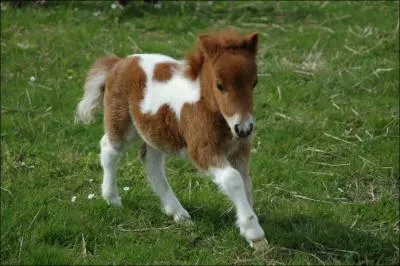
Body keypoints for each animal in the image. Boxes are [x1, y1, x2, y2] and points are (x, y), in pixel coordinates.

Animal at [75, 30, 268, 249]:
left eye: (254, 82)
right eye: (220, 85)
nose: (244, 128)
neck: (208, 108)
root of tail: (118, 62)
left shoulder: (239, 150)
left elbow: (246, 182)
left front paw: (251, 228)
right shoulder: (202, 150)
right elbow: (233, 179)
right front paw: (254, 232)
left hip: (155, 131)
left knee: (151, 163)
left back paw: (176, 212)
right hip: (122, 123)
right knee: (109, 148)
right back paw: (112, 198)